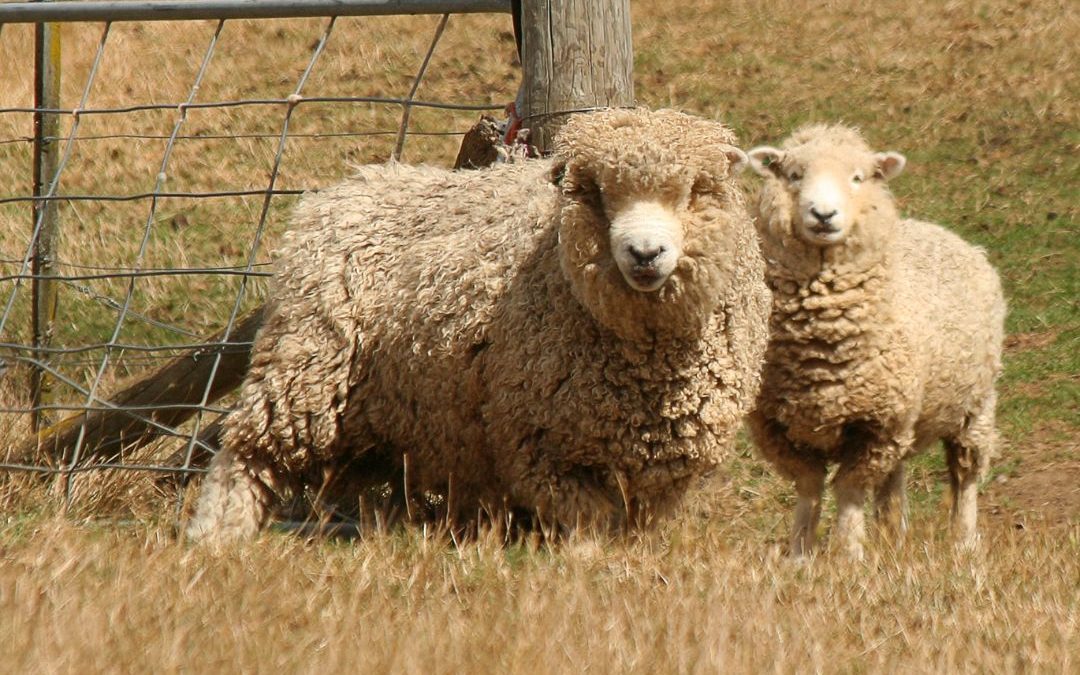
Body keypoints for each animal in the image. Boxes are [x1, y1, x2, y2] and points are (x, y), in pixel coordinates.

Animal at [186, 108, 773, 544]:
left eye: (695, 191)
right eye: (595, 193)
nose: (645, 254)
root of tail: (343, 190)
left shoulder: (663, 471)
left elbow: (631, 531)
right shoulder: (539, 448)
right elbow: (588, 525)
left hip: (385, 409)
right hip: (305, 367)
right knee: (247, 453)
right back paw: (217, 537)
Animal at [744, 124, 1005, 559]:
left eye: (858, 177)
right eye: (794, 175)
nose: (823, 215)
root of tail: (940, 231)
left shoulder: (875, 426)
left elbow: (850, 489)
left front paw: (849, 553)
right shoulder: (775, 424)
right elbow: (809, 488)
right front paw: (799, 553)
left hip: (975, 402)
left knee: (965, 473)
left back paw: (964, 543)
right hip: (906, 415)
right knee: (894, 478)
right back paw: (893, 536)